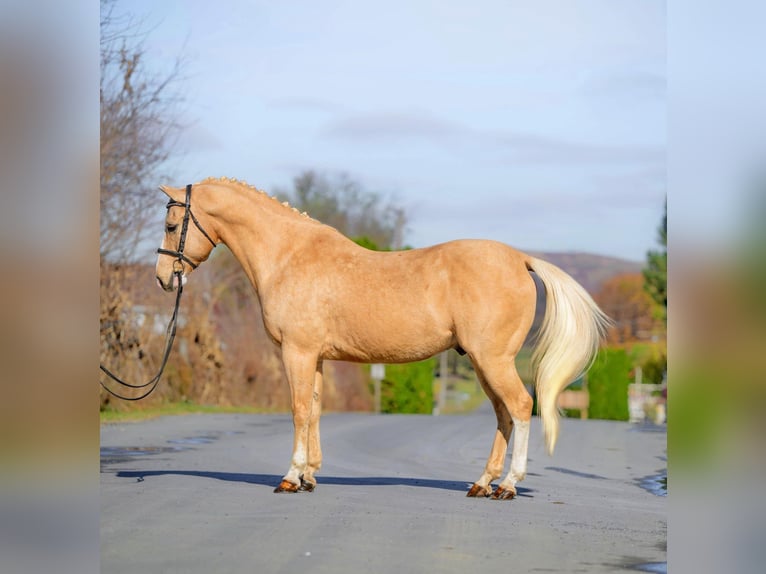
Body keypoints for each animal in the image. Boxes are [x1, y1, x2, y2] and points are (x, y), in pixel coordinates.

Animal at [156, 178, 612, 502]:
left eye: (172, 225)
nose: (163, 278)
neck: (289, 255)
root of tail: (520, 258)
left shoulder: (297, 352)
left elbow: (299, 411)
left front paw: (290, 477)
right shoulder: (315, 356)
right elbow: (315, 411)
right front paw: (309, 477)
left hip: (493, 360)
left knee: (519, 407)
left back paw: (508, 486)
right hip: (484, 364)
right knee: (503, 415)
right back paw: (482, 483)